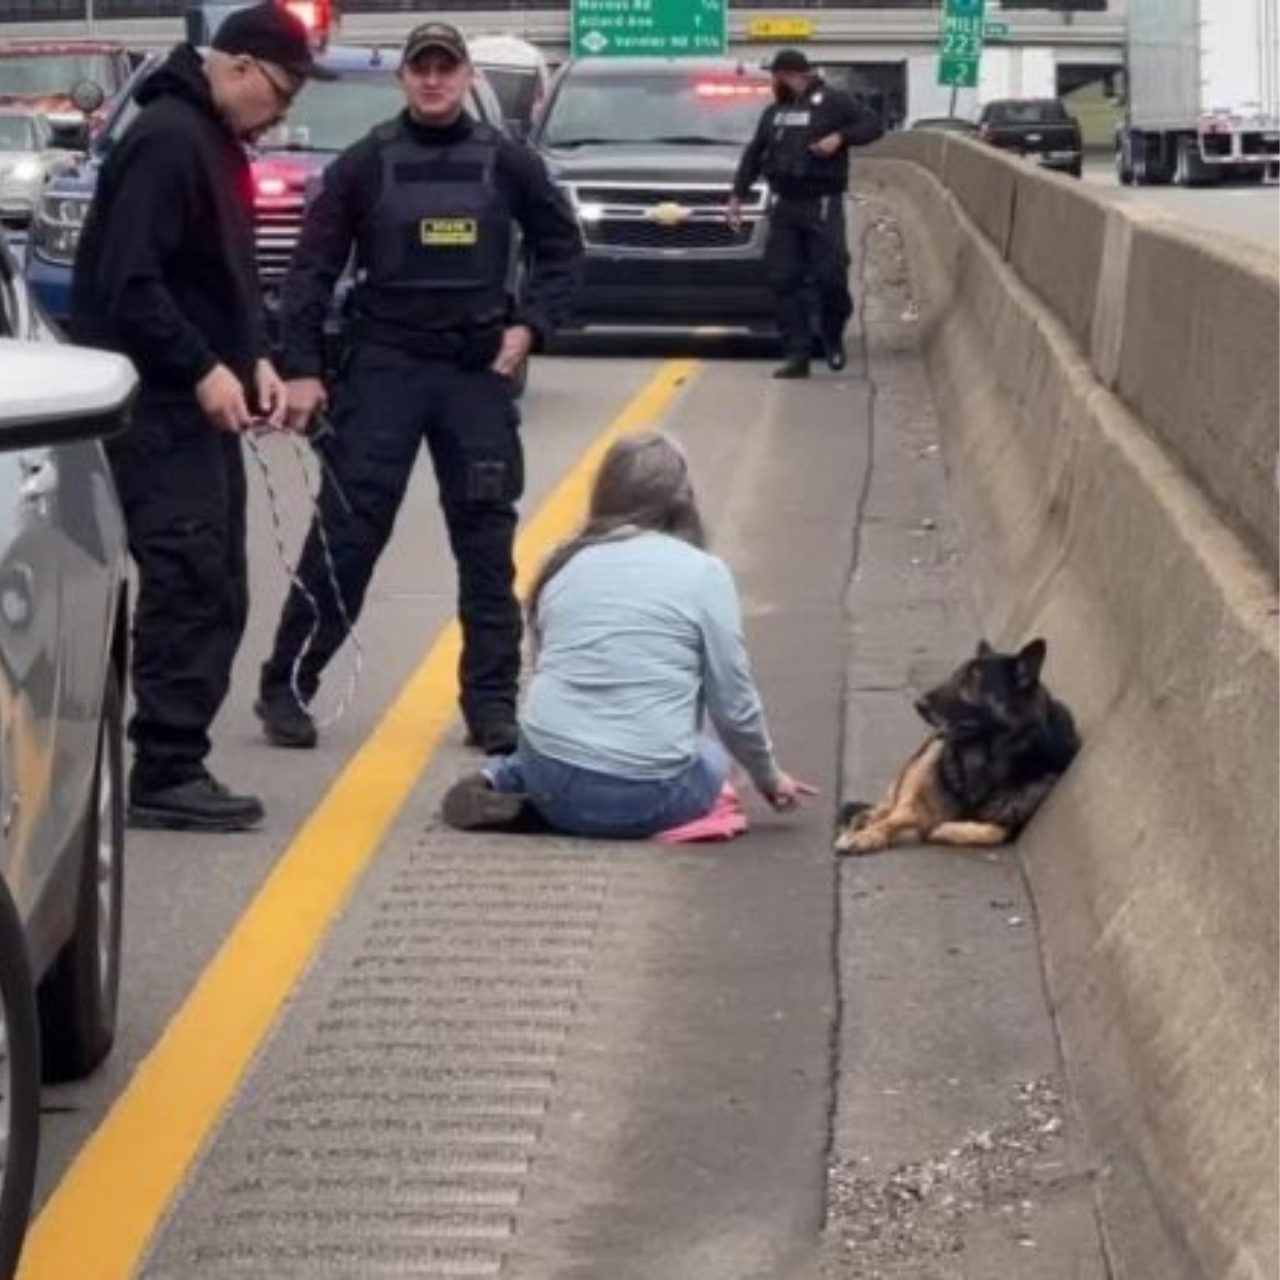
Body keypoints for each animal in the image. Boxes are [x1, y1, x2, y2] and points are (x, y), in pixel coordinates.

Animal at [834, 638, 1079, 855]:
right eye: (954, 676)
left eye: (972, 681)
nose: (918, 705)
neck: (987, 760)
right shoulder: (921, 798)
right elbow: (901, 816)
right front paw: (867, 836)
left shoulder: (1014, 819)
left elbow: (993, 831)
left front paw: (945, 829)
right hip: (927, 758)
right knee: (892, 805)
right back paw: (867, 819)